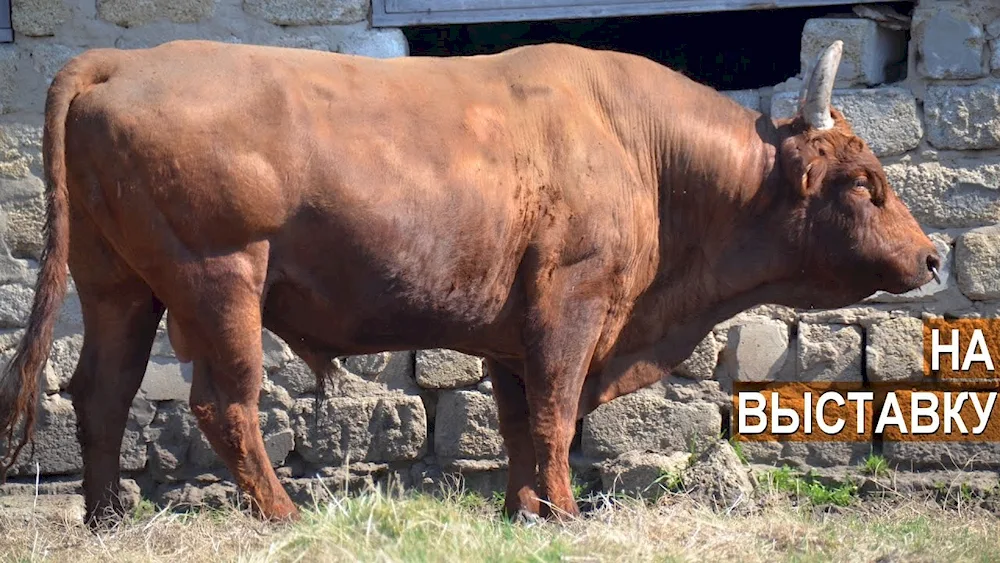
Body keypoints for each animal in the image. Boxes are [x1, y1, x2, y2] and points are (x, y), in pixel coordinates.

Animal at [0, 38, 936, 524]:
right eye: (863, 181)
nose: (929, 258)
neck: (638, 144)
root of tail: (122, 58)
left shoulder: (514, 327)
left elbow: (521, 419)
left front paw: (523, 508)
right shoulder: (570, 303)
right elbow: (556, 414)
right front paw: (565, 510)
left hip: (118, 284)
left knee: (102, 391)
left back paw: (107, 516)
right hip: (219, 277)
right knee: (222, 401)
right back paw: (284, 514)